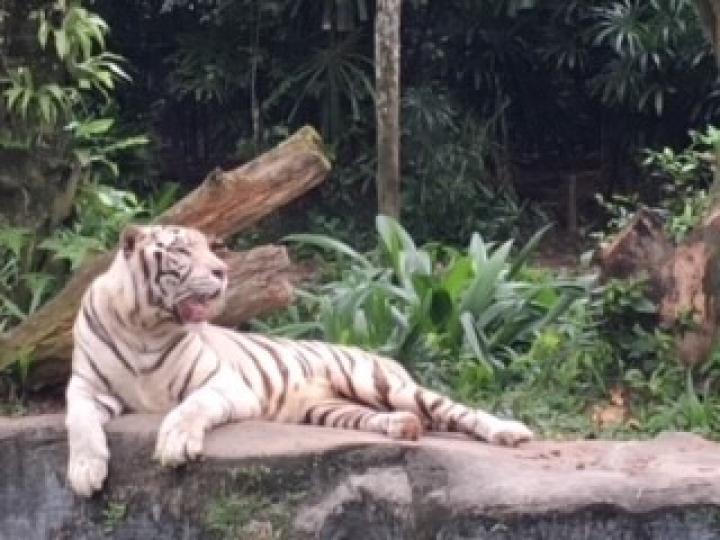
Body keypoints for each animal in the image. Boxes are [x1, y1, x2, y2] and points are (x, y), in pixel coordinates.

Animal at [64, 224, 532, 498]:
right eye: (182, 251)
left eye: (210, 249)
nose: (221, 272)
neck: (146, 323)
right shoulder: (86, 386)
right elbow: (79, 421)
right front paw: (86, 471)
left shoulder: (226, 384)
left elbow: (189, 407)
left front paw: (175, 444)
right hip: (328, 407)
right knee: (390, 417)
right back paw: (403, 426)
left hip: (377, 381)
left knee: (456, 410)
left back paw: (511, 432)